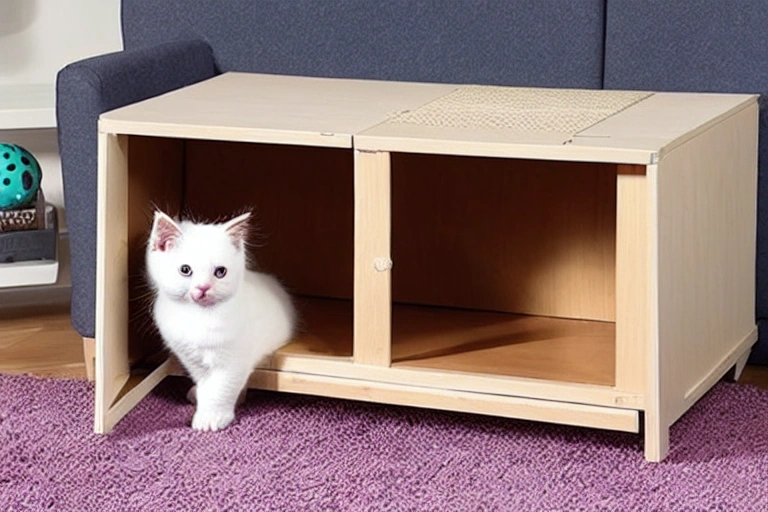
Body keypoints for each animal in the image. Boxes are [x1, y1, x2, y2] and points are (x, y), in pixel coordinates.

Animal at [146, 210, 296, 430]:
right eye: (185, 269)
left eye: (220, 272)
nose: (203, 287)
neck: (198, 316)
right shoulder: (190, 357)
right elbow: (205, 383)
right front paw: (201, 399)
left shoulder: (234, 359)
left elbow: (221, 388)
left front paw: (212, 418)